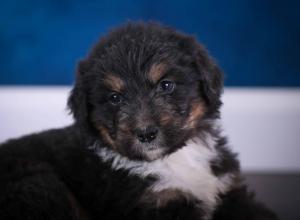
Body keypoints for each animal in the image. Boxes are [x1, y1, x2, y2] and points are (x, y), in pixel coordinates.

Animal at [0, 21, 278, 219]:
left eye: (166, 85)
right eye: (114, 98)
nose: (146, 134)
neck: (173, 158)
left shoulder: (229, 189)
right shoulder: (161, 203)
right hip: (41, 185)